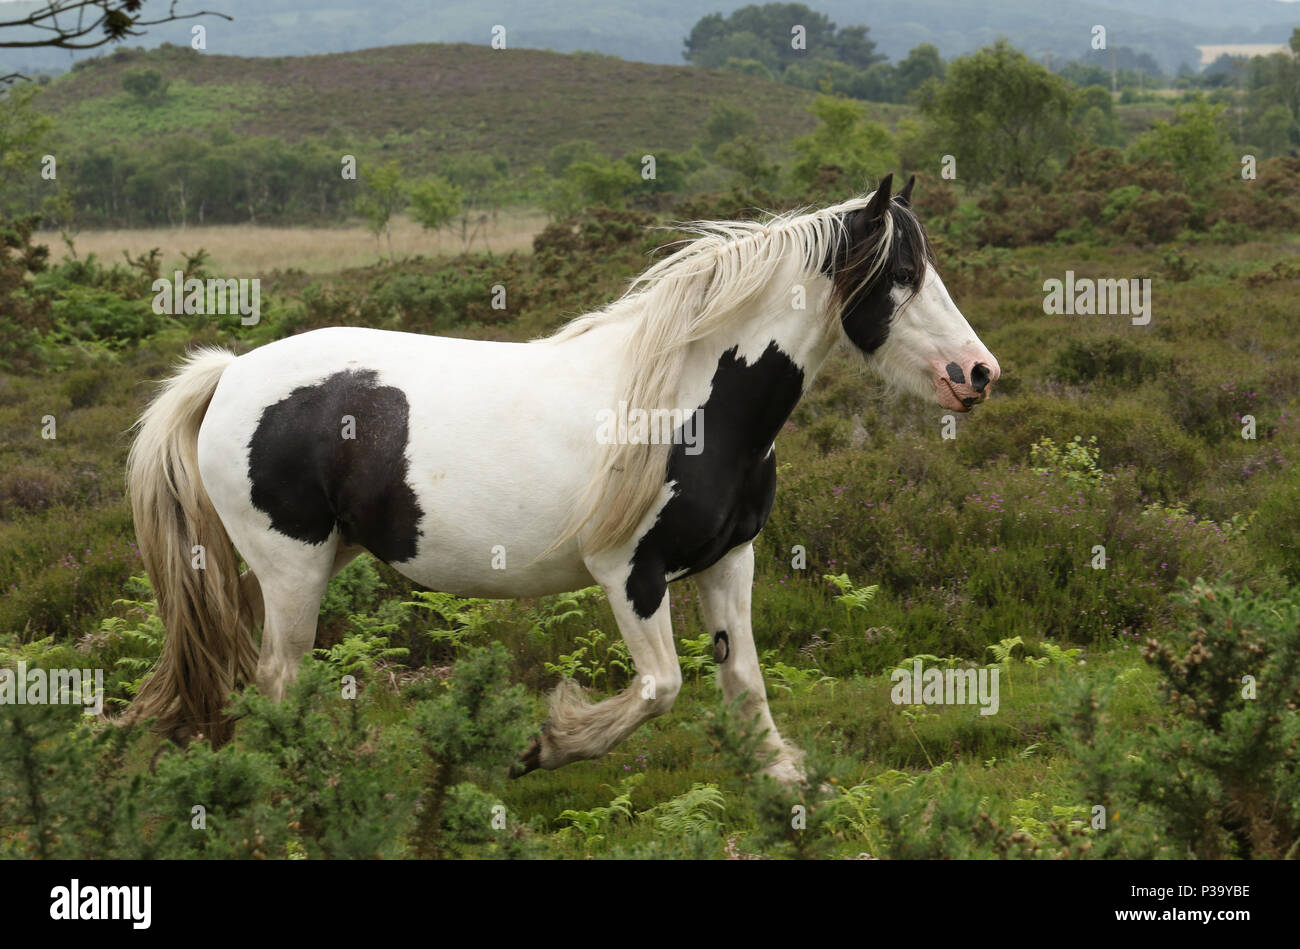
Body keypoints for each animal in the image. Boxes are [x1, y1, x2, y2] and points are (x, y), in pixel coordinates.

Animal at [122, 174, 998, 780]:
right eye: (900, 274)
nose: (978, 373)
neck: (689, 404)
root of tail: (231, 372)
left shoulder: (729, 559)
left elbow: (743, 678)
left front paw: (782, 778)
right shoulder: (629, 573)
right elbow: (661, 687)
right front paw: (542, 745)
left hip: (328, 552)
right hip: (291, 565)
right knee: (278, 674)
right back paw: (303, 775)